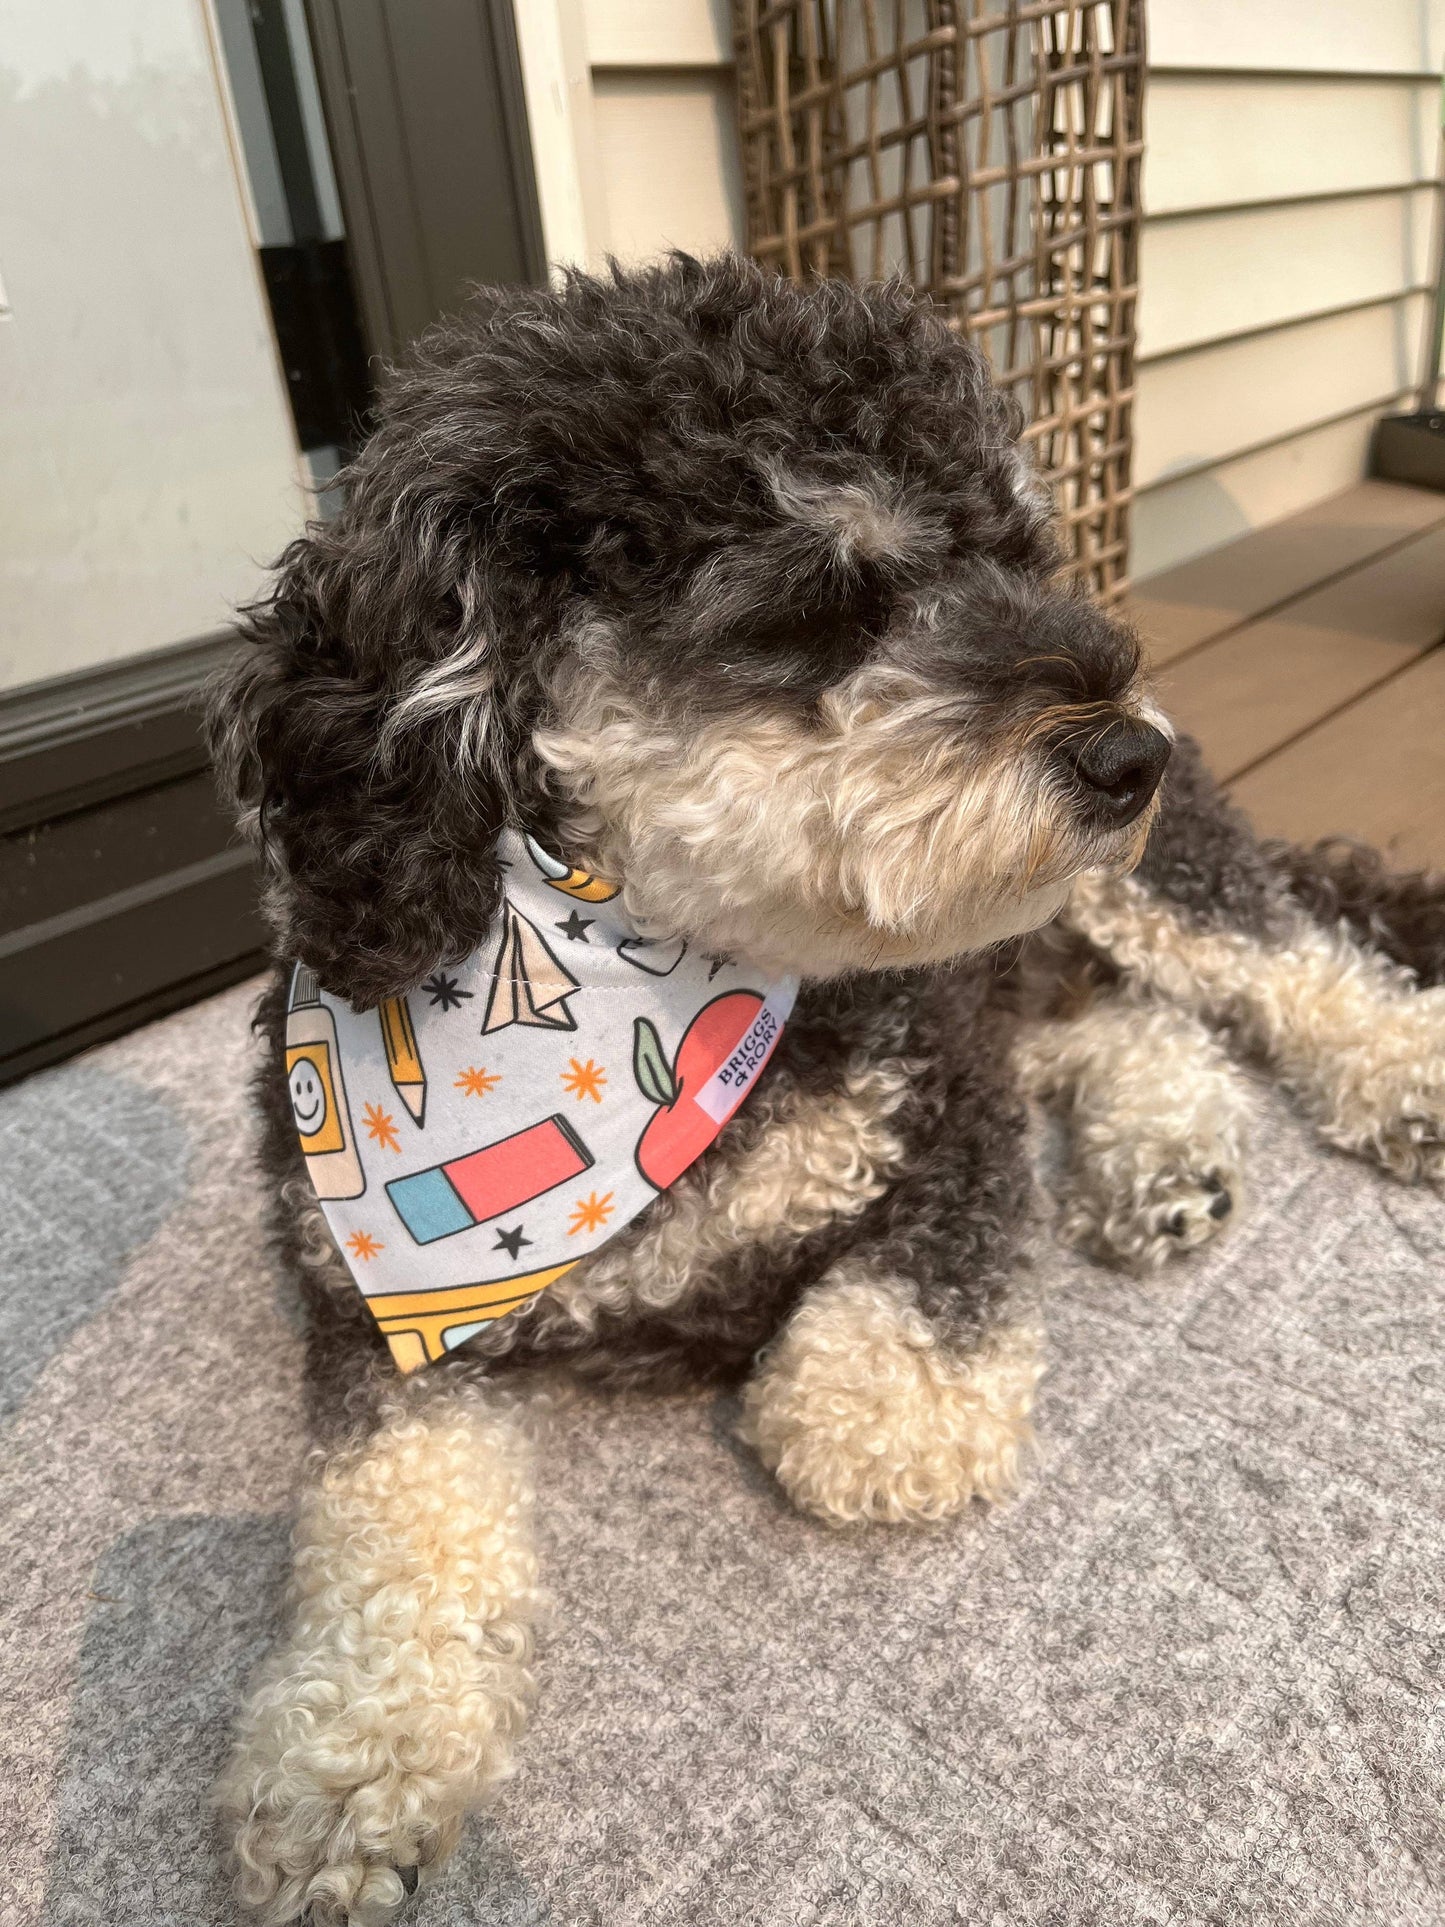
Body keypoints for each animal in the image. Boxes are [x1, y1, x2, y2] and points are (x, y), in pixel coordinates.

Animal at [209, 260, 1445, 1927]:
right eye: (824, 595)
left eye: (1020, 554)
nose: (1126, 750)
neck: (666, 976)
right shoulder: (373, 1312)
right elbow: (390, 1515)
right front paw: (351, 1763)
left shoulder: (946, 1101)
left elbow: (880, 1364)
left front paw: (879, 1395)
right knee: (1124, 1015)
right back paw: (1162, 1152)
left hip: (1149, 884)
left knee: (1284, 957)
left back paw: (1390, 1077)